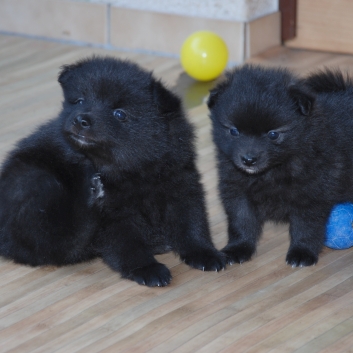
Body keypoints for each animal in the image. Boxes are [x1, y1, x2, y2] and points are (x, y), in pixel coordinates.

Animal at [0, 55, 224, 286]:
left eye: (120, 114)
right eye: (79, 101)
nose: (81, 119)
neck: (135, 170)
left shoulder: (181, 183)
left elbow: (192, 223)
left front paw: (205, 253)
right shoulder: (114, 215)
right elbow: (126, 243)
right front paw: (146, 268)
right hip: (35, 181)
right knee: (59, 242)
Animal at [208, 64, 353, 266]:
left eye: (273, 134)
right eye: (234, 131)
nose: (248, 159)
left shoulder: (311, 193)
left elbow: (306, 226)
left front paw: (302, 252)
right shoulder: (236, 189)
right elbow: (241, 220)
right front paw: (238, 248)